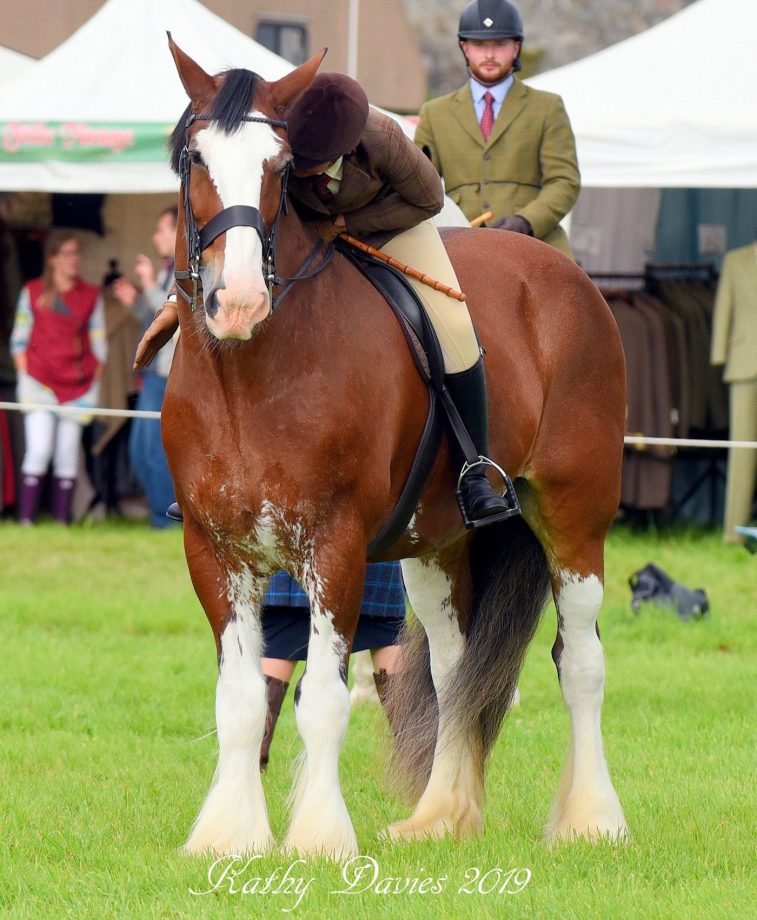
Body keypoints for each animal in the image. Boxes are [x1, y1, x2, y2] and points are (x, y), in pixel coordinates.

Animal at [160, 38, 629, 859]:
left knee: (581, 664)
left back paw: (591, 819)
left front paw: (318, 838)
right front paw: (229, 836)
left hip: (575, 522)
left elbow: (322, 698)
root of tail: (566, 277)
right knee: (452, 668)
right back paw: (442, 815)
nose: (238, 301)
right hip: (434, 548)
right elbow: (241, 700)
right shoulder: (216, 554)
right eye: (194, 157)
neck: (248, 372)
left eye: (281, 166)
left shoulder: (334, 546)